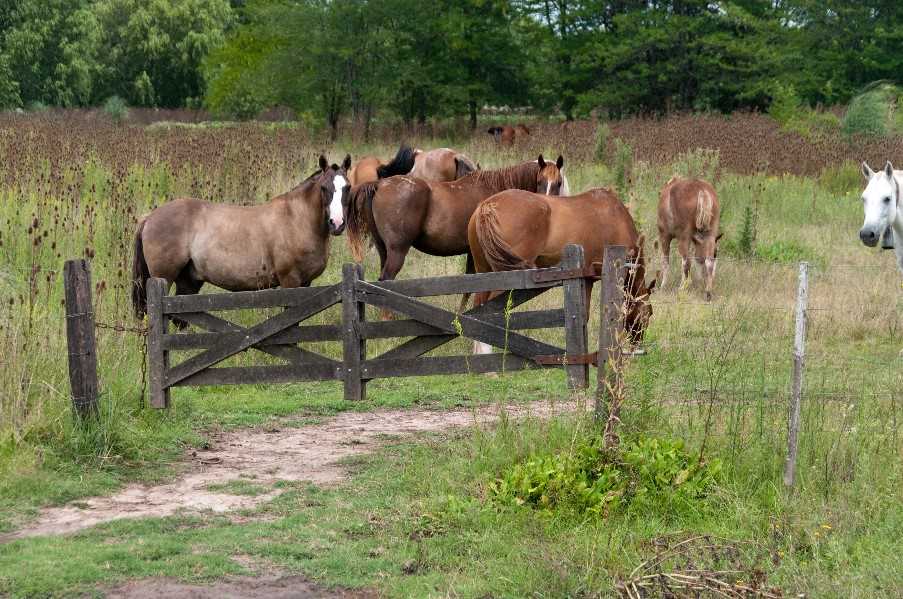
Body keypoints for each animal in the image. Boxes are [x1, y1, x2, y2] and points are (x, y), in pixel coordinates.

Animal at [342, 155, 568, 282]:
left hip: (383, 250)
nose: (550, 202)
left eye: (558, 182)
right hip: (397, 251)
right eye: (540, 181)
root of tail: (379, 184)